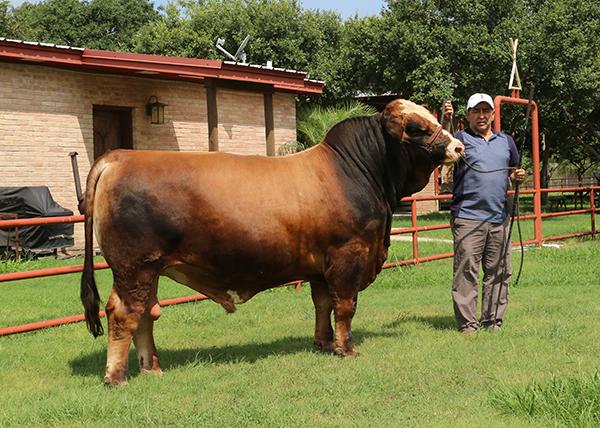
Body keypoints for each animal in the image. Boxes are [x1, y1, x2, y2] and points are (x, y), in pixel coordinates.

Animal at [79, 98, 464, 386]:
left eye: (434, 117)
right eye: (416, 127)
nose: (458, 146)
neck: (356, 171)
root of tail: (118, 157)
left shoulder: (320, 267)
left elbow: (322, 303)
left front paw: (324, 343)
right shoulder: (347, 256)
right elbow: (345, 306)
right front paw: (346, 349)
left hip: (149, 270)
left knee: (145, 313)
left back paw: (151, 367)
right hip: (134, 267)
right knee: (124, 314)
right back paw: (116, 376)